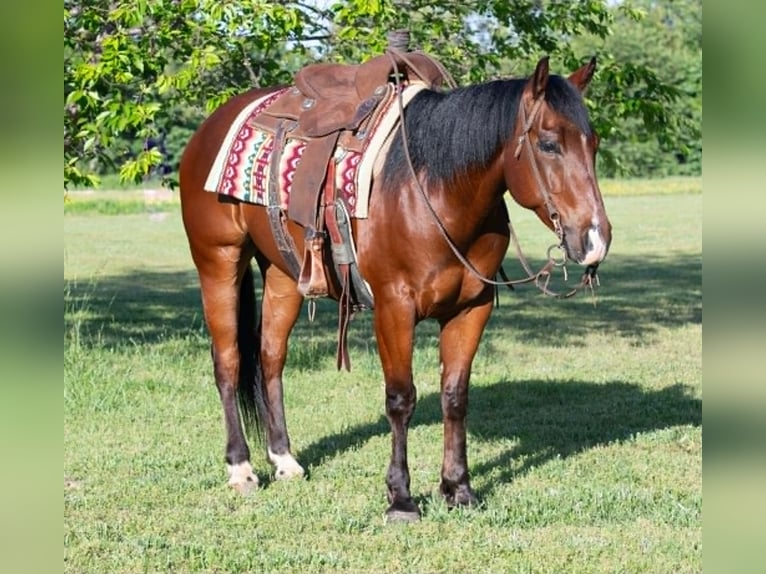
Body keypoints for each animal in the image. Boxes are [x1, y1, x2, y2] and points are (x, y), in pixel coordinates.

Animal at [179, 55, 612, 522]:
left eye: (594, 144)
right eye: (548, 144)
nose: (596, 239)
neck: (436, 195)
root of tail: (211, 126)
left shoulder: (471, 309)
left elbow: (455, 397)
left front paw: (458, 489)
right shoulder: (394, 308)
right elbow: (401, 399)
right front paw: (401, 498)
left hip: (284, 274)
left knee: (270, 358)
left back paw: (284, 460)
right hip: (219, 261)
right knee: (228, 362)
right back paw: (240, 468)